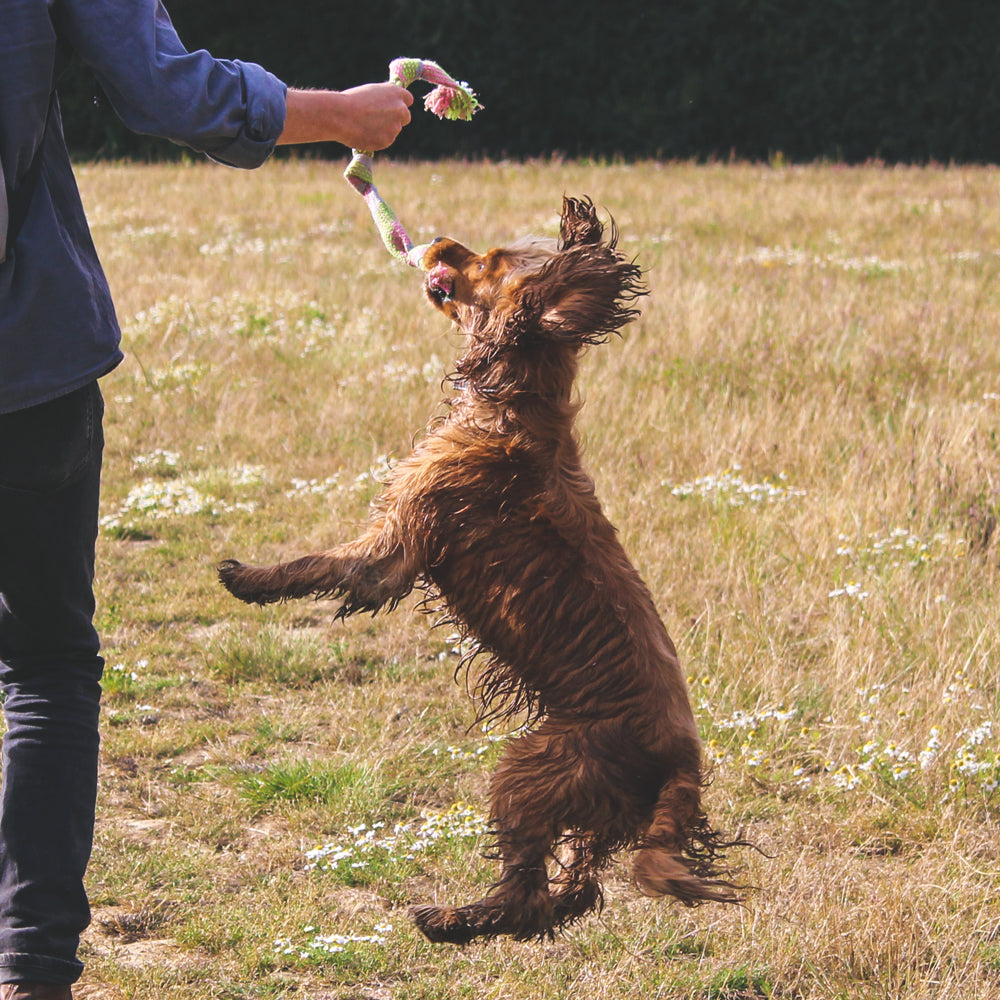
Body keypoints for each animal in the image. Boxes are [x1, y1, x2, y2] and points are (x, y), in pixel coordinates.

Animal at [217, 197, 744, 944]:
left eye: (488, 260)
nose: (439, 240)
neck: (514, 406)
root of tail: (683, 760)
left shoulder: (394, 548)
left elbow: (321, 563)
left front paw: (248, 577)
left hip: (533, 766)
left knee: (528, 890)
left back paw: (449, 919)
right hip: (586, 797)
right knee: (574, 890)